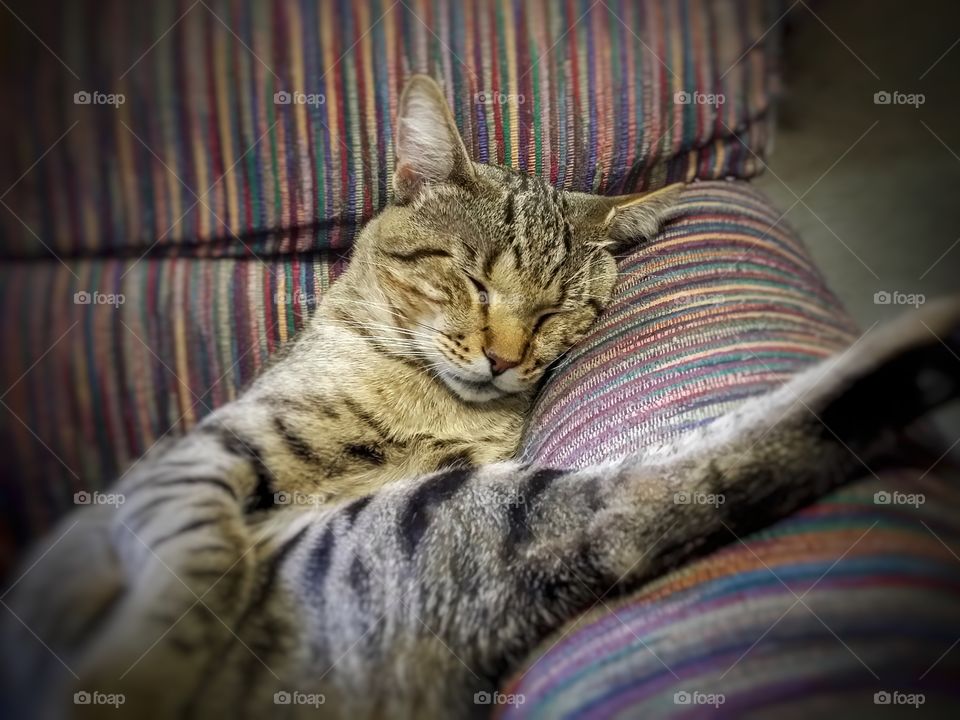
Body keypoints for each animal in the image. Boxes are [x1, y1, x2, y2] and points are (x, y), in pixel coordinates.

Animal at [1, 76, 960, 716]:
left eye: (558, 309)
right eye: (470, 280)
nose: (503, 359)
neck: (420, 398)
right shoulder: (202, 451)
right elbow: (199, 545)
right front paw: (155, 649)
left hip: (403, 534)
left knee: (645, 499)